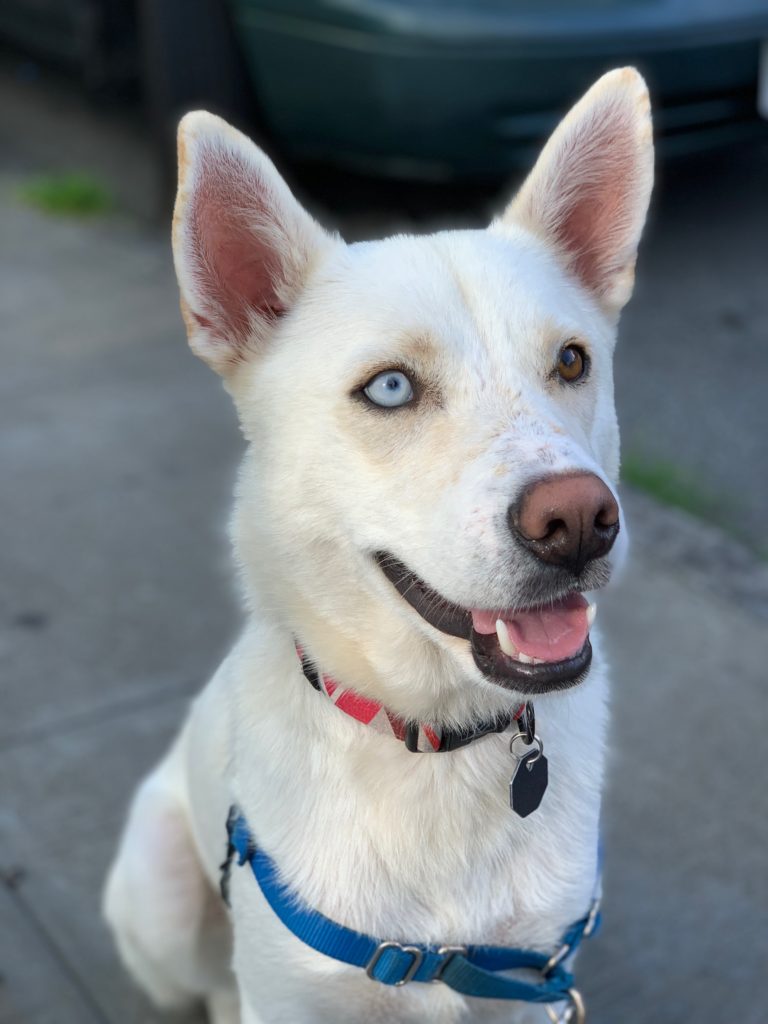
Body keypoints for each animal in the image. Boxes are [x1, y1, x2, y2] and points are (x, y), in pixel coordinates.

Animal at [102, 66, 655, 1024]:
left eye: (572, 362)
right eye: (390, 388)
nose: (580, 520)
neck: (434, 740)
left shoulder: (534, 977)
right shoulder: (291, 993)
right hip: (166, 899)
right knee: (207, 985)